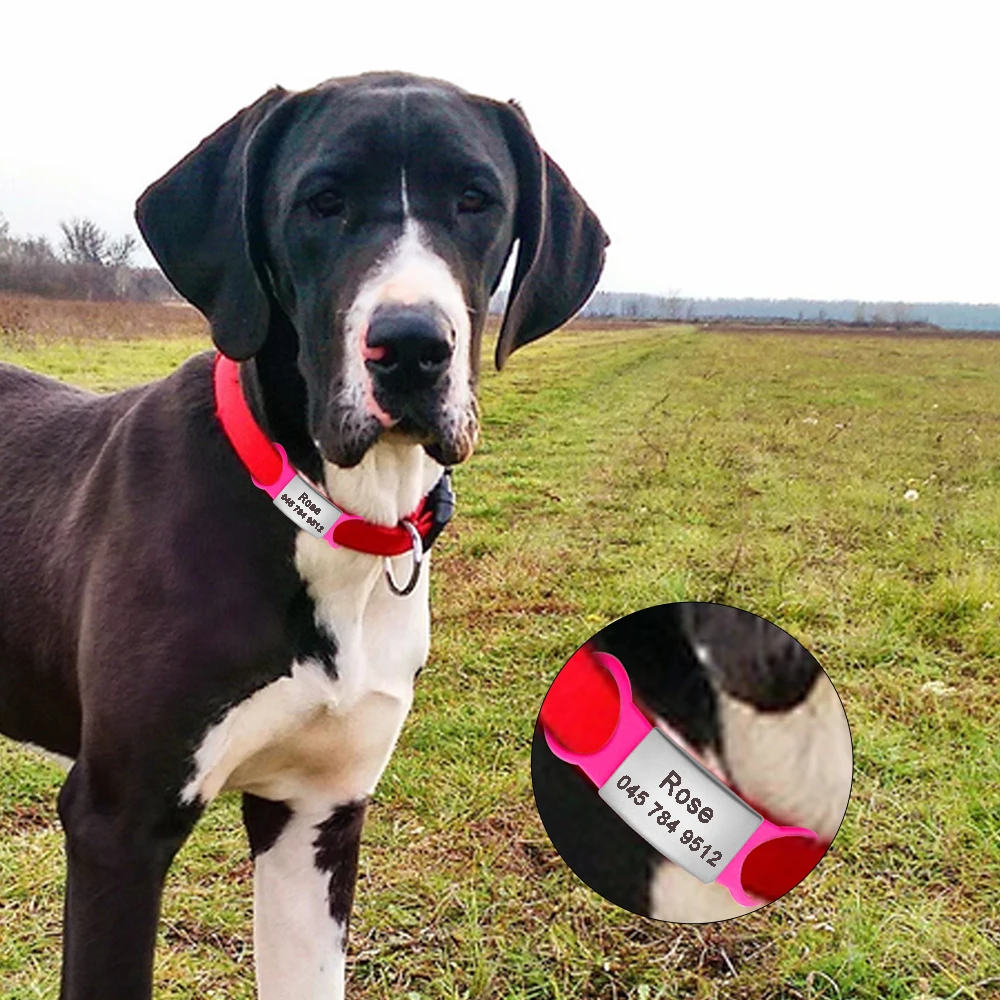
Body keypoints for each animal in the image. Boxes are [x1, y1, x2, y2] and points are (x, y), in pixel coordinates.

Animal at [0, 72, 608, 1000]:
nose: (411, 347)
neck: (329, 515)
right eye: (322, 202)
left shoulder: (318, 812)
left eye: (478, 200)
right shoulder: (117, 826)